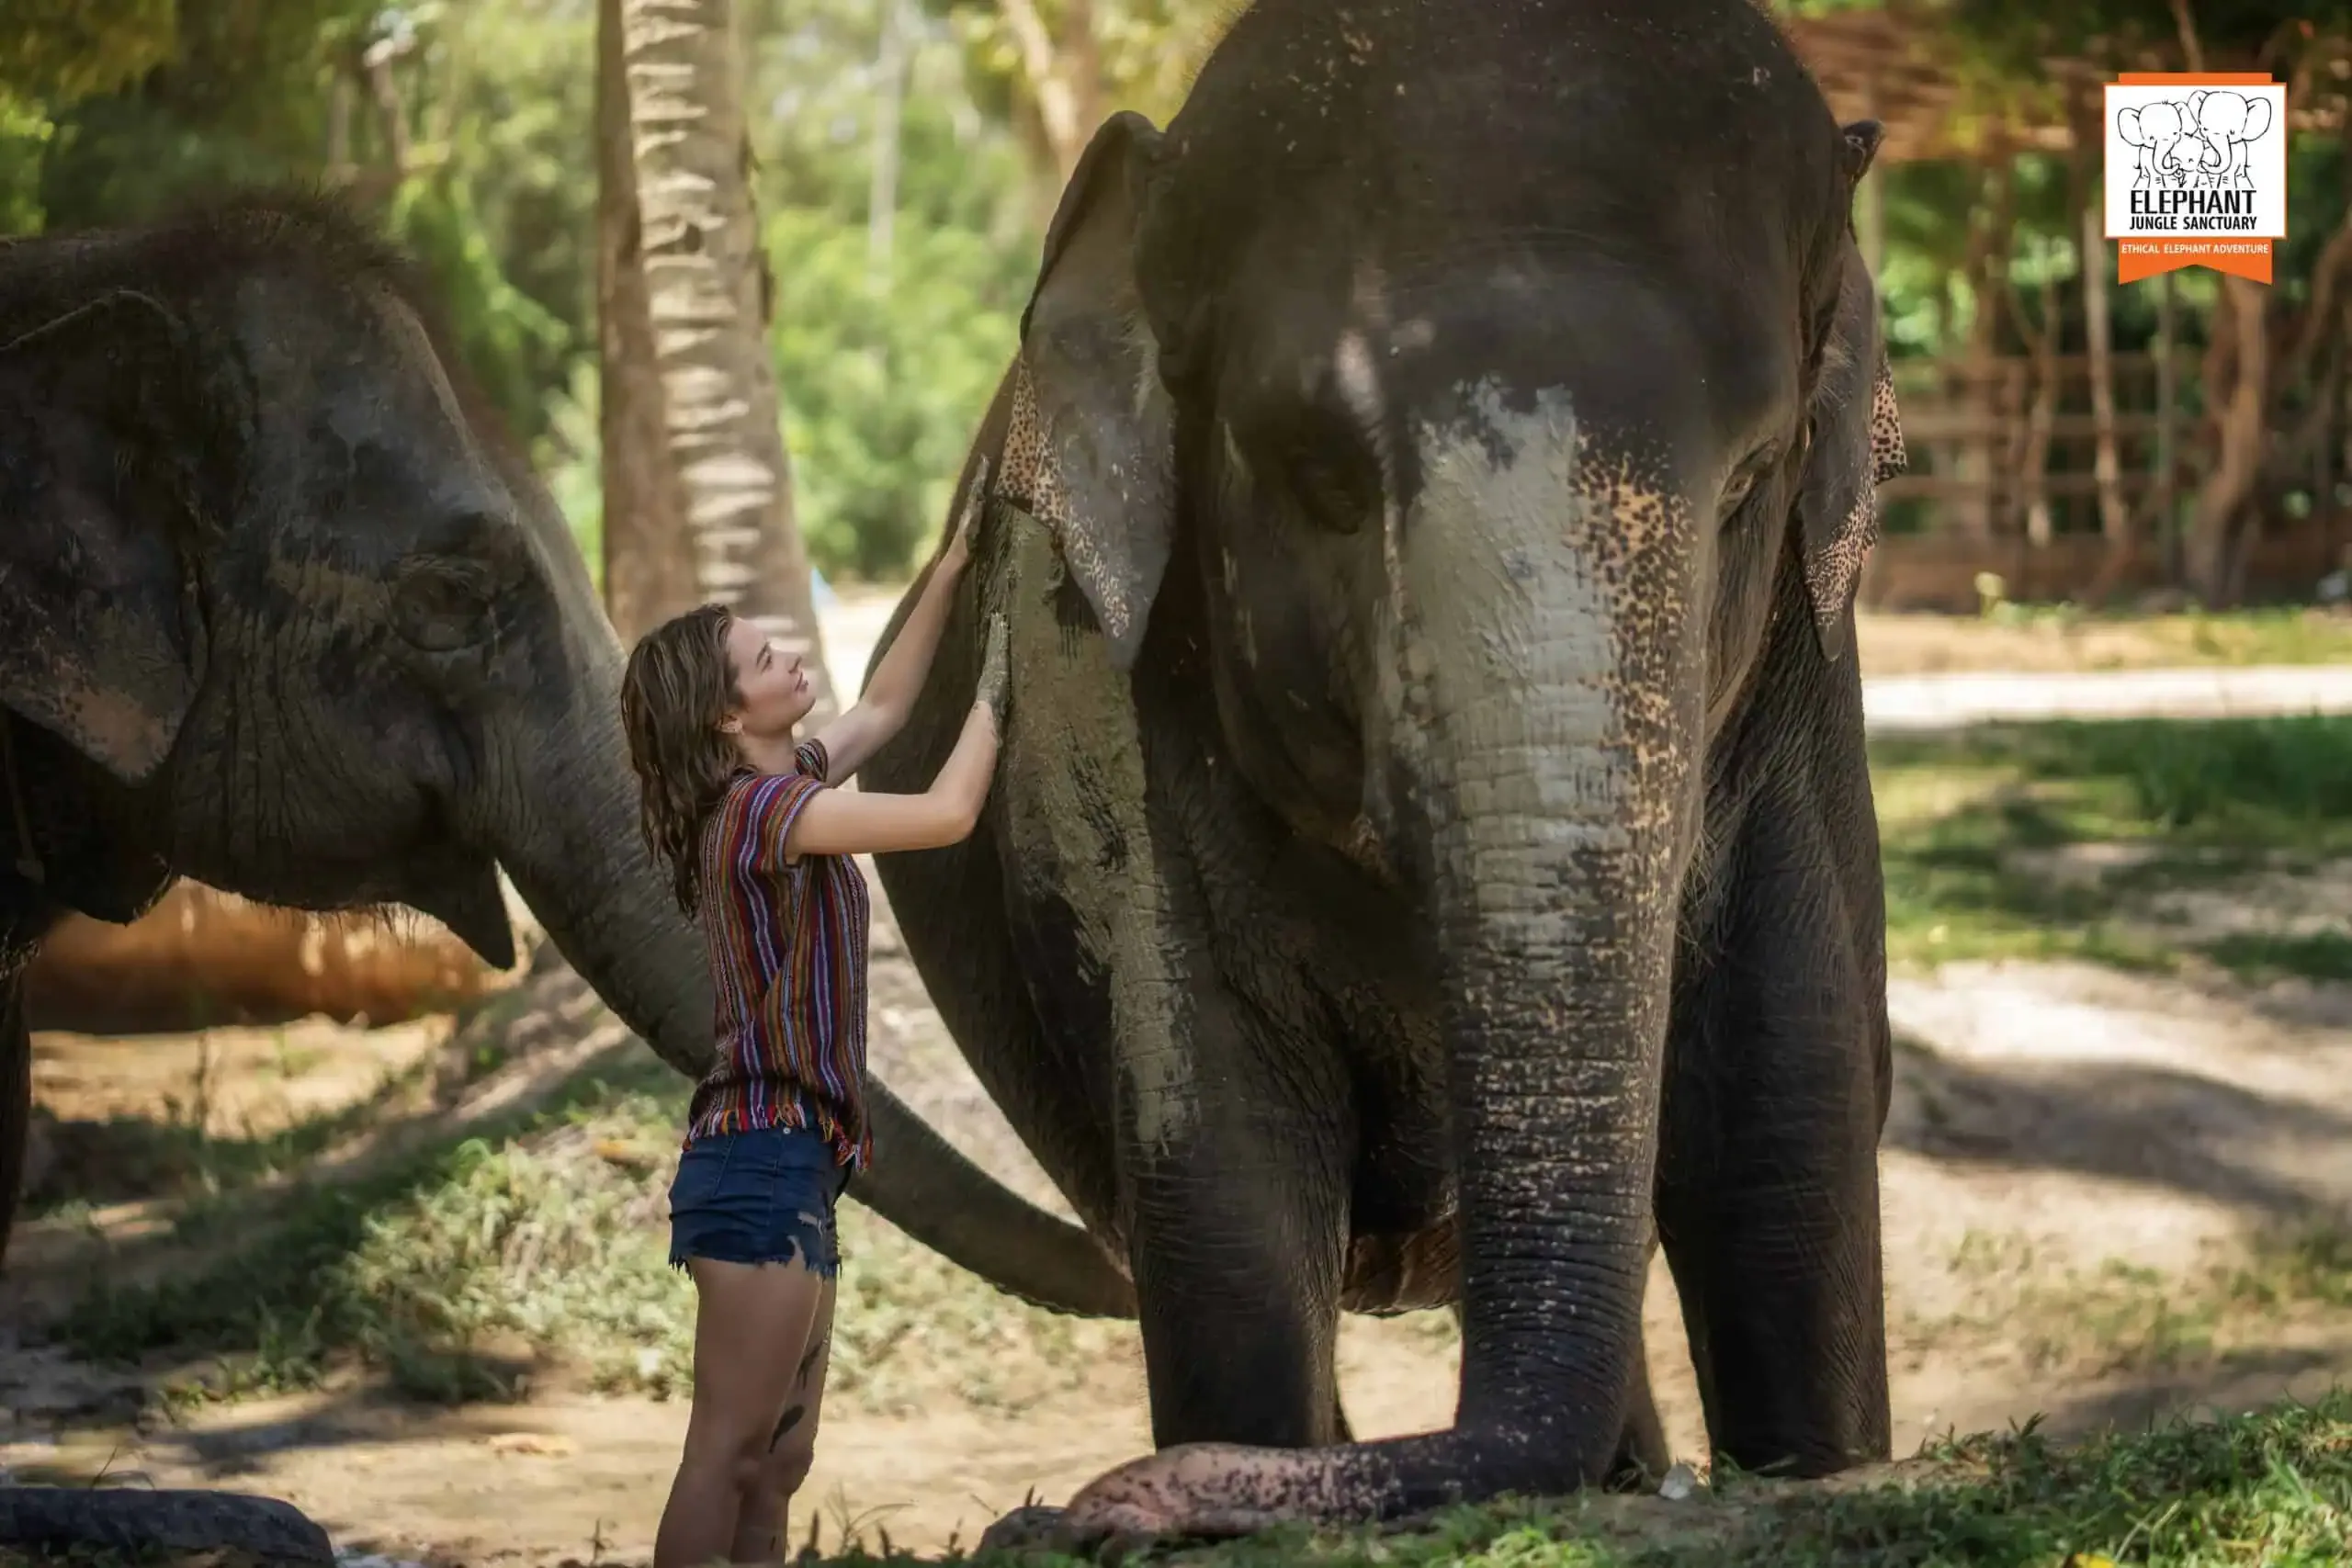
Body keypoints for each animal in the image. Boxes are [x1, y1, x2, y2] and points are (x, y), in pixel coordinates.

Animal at [859, 0, 1909, 1542]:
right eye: (1317, 473)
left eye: (1749, 480)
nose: (1067, 1513)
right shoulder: (1116, 700)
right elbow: (1228, 1184)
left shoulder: (1799, 693)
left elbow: (1785, 1133)